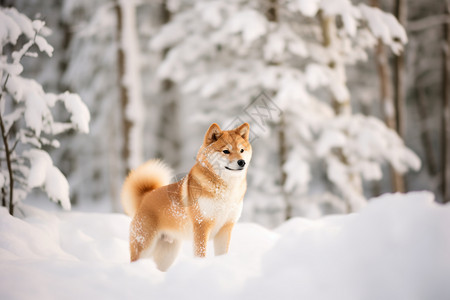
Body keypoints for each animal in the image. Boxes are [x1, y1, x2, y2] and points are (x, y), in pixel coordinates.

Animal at [121, 122, 251, 272]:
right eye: (226, 151)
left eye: (241, 150)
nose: (242, 162)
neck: (225, 190)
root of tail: (146, 196)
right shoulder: (201, 226)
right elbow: (201, 254)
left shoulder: (226, 228)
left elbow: (222, 254)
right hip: (144, 246)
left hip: (168, 254)